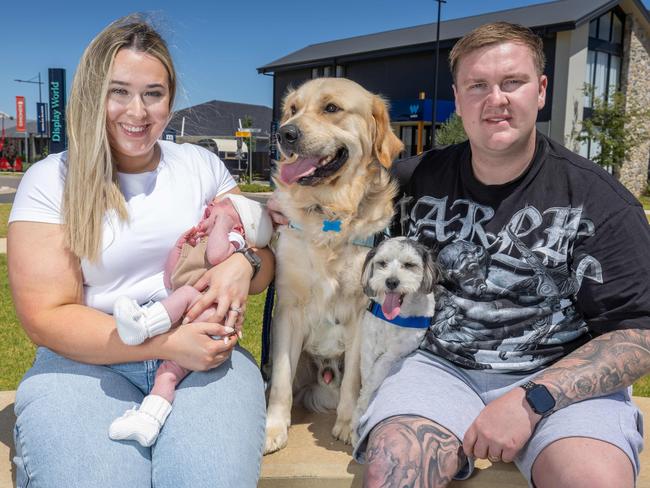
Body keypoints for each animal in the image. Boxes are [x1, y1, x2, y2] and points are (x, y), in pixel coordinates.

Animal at [352, 237, 438, 446]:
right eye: (382, 263)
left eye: (409, 265)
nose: (391, 281)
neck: (395, 318)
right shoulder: (368, 345)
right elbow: (367, 376)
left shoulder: (396, 352)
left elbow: (375, 375)